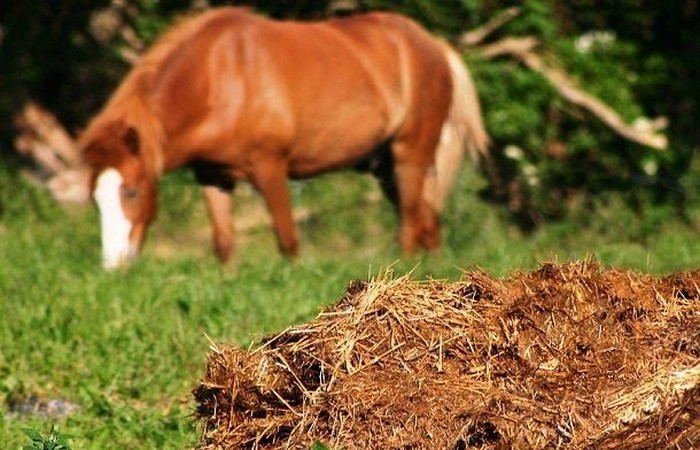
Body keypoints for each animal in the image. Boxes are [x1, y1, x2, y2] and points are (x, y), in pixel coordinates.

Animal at [82, 7, 486, 268]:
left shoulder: (271, 168)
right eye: (96, 198)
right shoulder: (214, 176)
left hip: (410, 154)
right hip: (386, 167)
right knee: (428, 220)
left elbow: (288, 241)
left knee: (410, 224)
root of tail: (435, 45)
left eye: (132, 192)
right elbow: (224, 244)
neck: (219, 77)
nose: (114, 264)